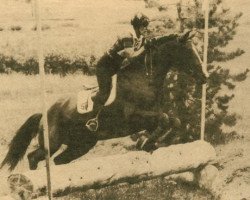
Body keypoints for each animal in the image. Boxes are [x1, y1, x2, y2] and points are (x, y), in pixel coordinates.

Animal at [0, 31, 207, 170]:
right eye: (188, 52)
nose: (204, 77)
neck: (143, 79)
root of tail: (44, 113)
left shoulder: (152, 116)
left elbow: (173, 120)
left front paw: (150, 143)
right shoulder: (133, 118)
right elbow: (164, 119)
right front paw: (145, 143)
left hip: (82, 144)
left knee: (58, 160)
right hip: (52, 142)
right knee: (34, 157)